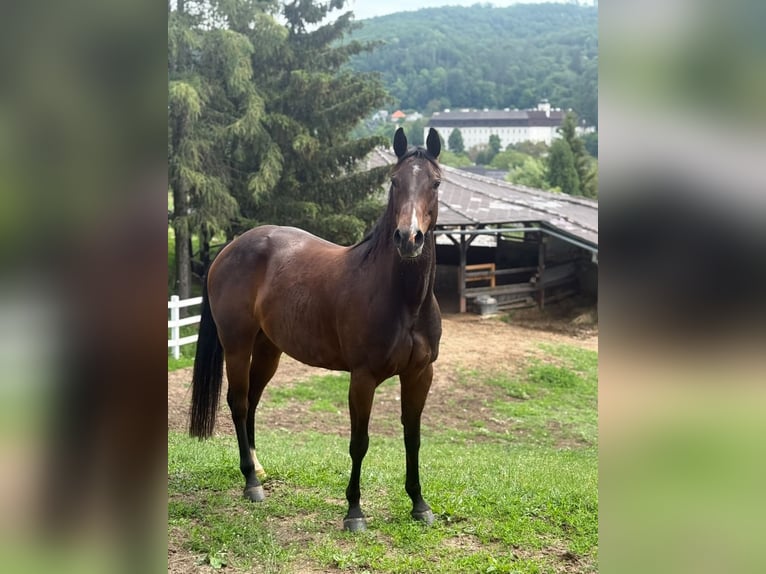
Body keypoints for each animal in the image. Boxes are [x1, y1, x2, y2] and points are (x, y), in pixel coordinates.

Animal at [189, 127, 443, 532]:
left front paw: (419, 504)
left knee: (253, 401)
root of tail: (229, 247)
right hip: (237, 345)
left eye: (435, 183)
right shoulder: (363, 377)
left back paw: (258, 468)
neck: (404, 301)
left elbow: (412, 437)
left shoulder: (420, 373)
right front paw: (354, 511)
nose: (409, 238)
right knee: (239, 402)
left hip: (268, 349)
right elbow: (359, 442)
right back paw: (251, 482)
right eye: (394, 181)